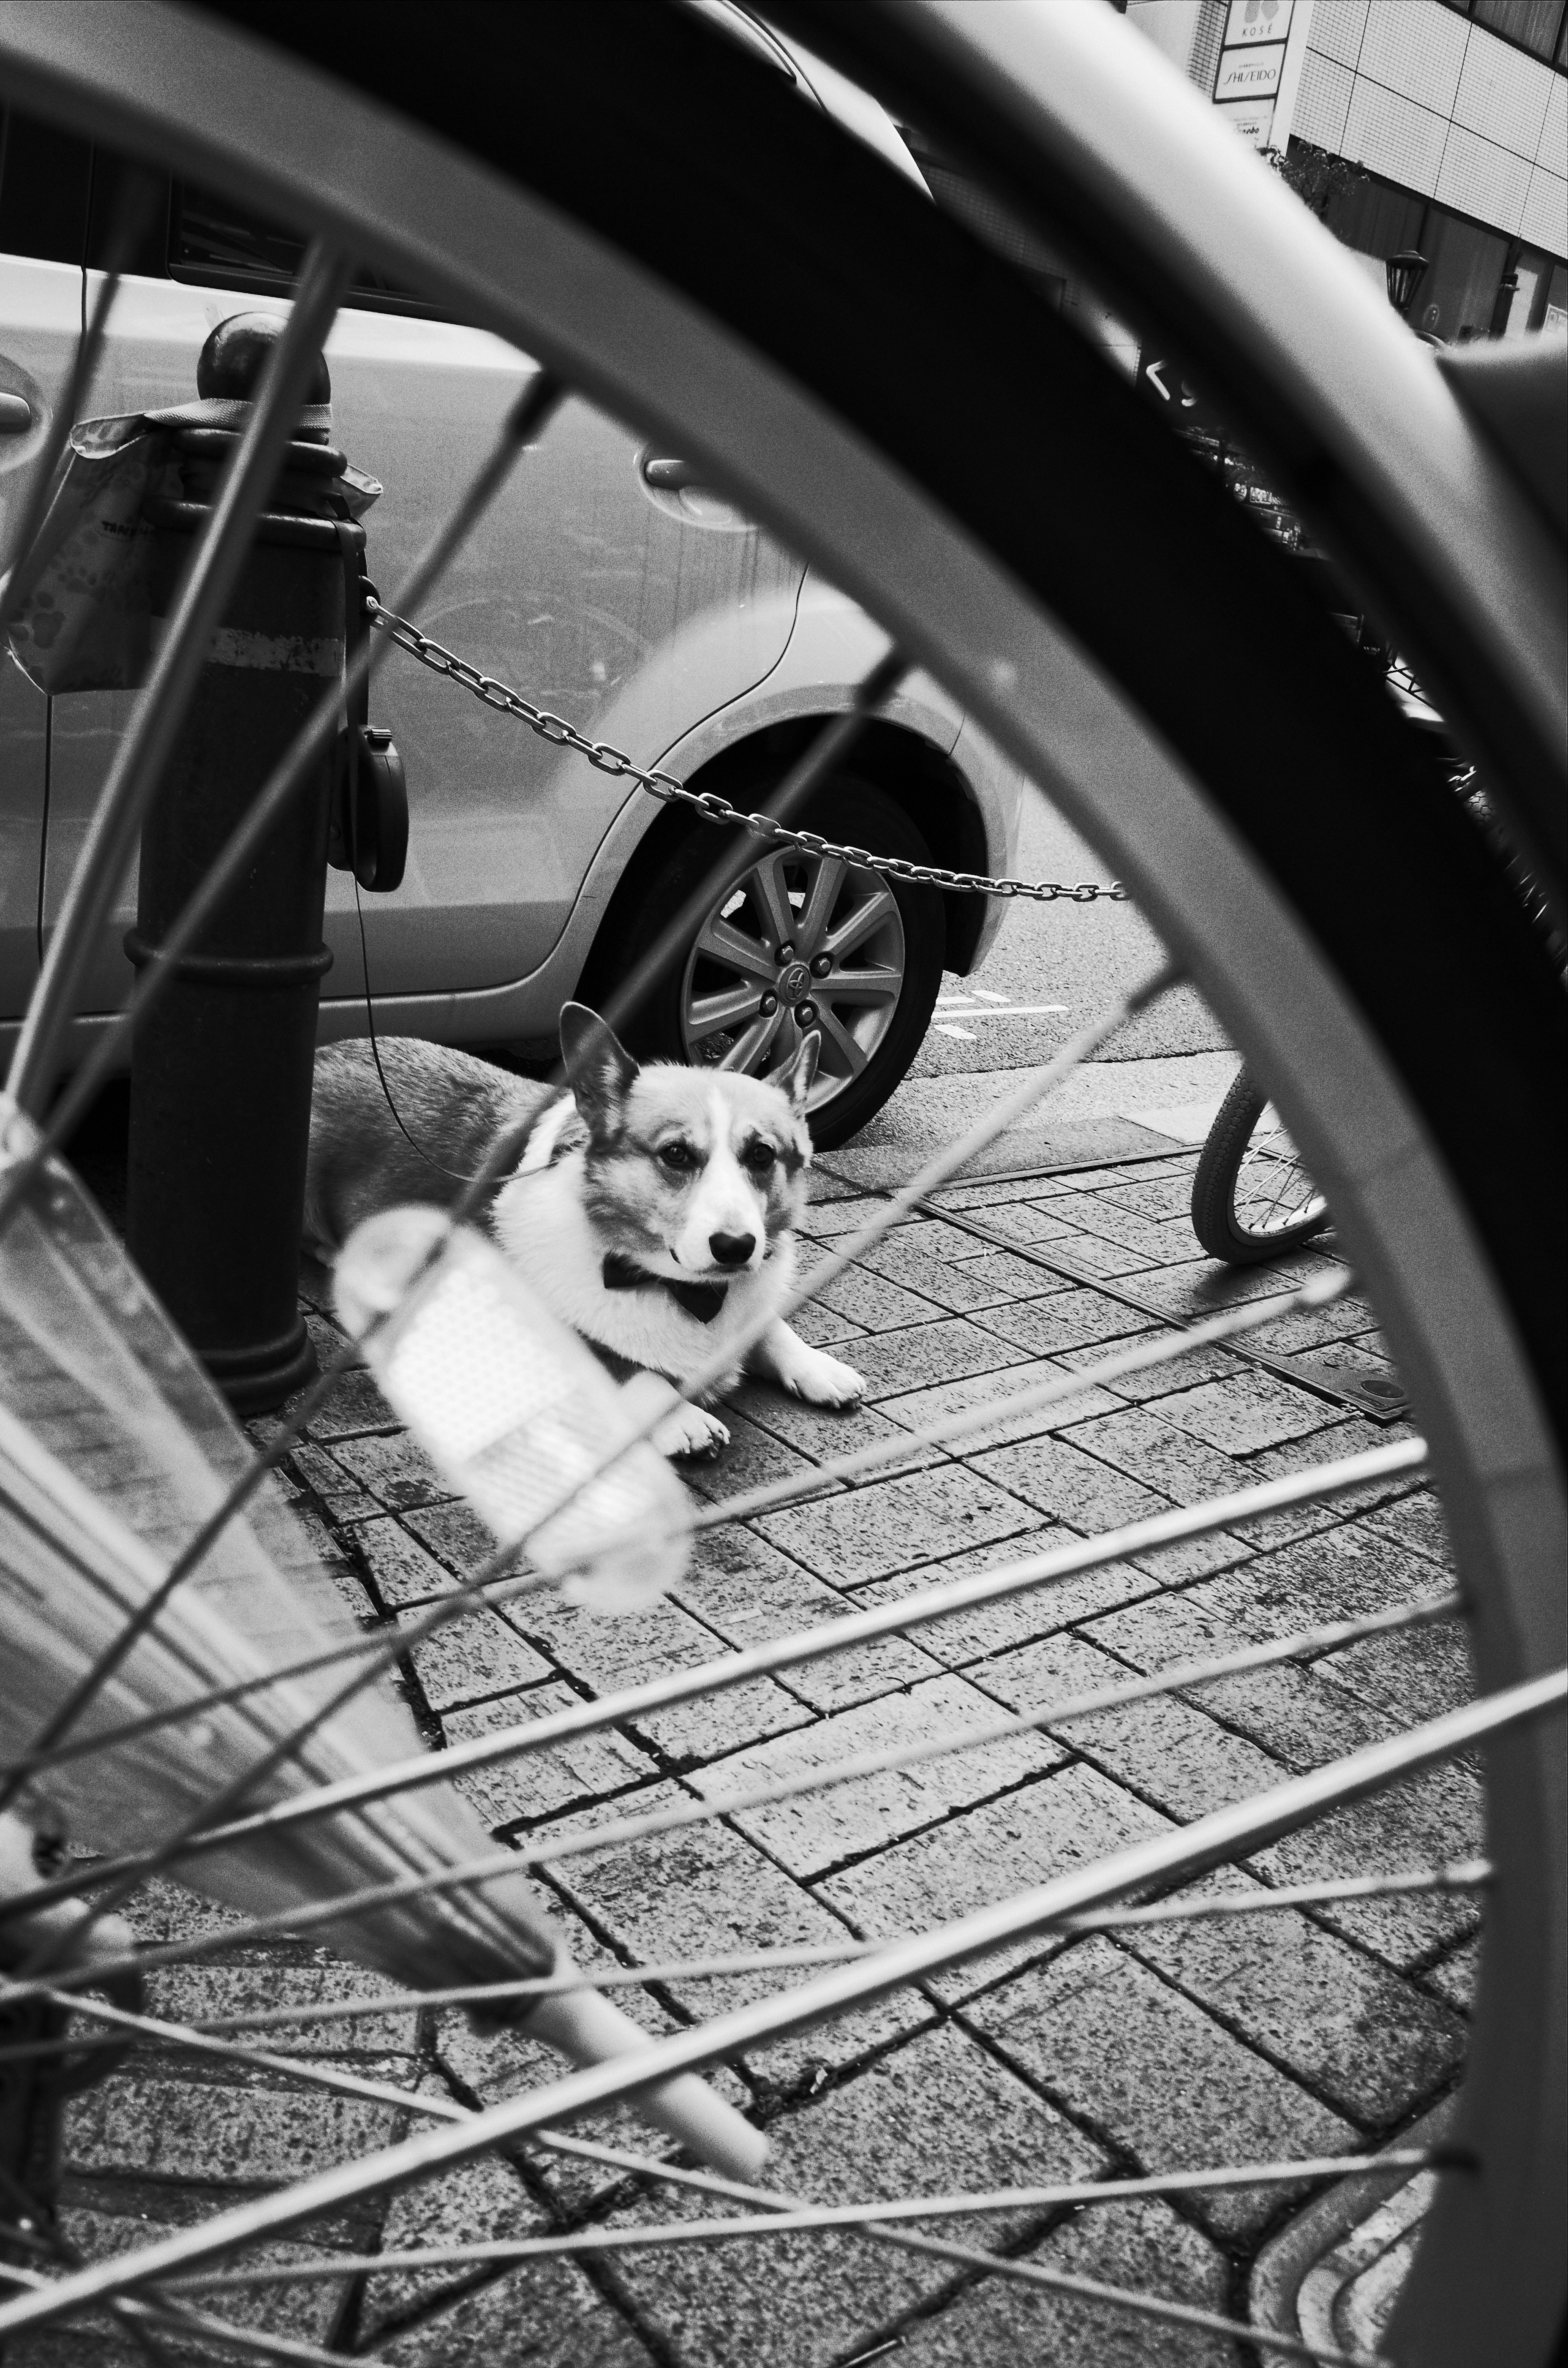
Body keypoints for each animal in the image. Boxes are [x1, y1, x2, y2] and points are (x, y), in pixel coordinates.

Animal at [303, 1004, 871, 1458]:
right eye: (676, 1154)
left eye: (761, 1155)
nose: (736, 1247)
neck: (687, 1293)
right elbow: (619, 1361)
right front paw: (682, 1418)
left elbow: (771, 1325)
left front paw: (817, 1366)